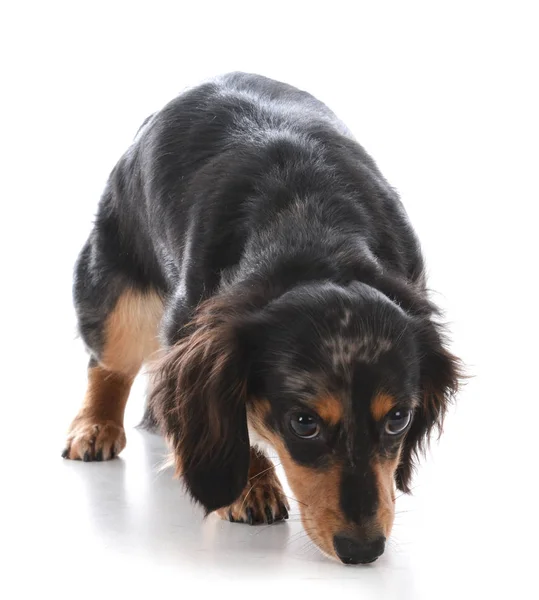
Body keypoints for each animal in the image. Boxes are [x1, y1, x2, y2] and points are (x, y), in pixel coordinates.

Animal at [62, 72, 460, 564]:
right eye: (304, 423)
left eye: (399, 418)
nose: (363, 550)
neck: (315, 238)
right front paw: (249, 487)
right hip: (118, 288)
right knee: (109, 361)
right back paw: (95, 425)